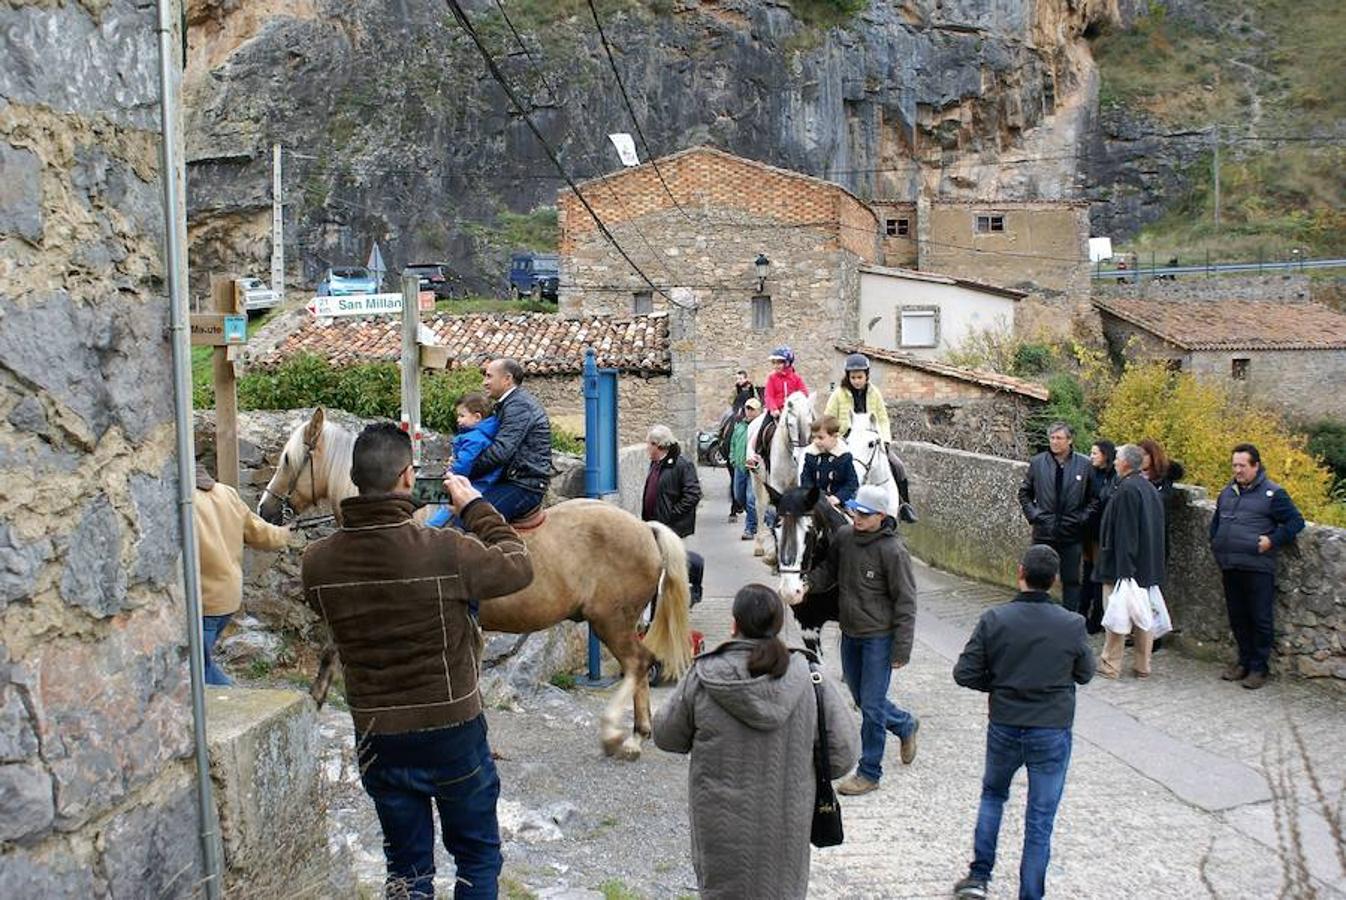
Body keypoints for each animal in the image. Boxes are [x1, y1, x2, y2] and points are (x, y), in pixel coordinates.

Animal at [257, 406, 694, 758]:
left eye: (287, 459)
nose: (265, 509)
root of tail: (645, 528)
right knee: (639, 666)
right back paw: (639, 731)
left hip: (611, 621)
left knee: (638, 664)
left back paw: (625, 735)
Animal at [742, 390, 812, 556]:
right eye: (791, 424)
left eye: (810, 422)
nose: (799, 457)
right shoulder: (776, 485)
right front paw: (775, 551)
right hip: (757, 480)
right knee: (760, 507)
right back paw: (759, 546)